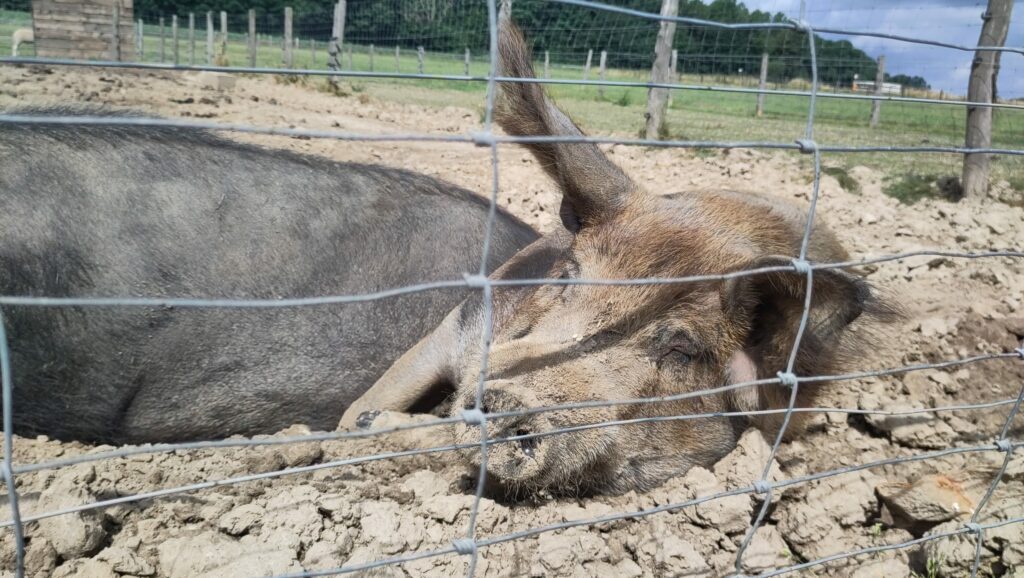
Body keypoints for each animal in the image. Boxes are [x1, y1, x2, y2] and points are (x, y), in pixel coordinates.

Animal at [340, 18, 897, 496]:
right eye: (567, 278)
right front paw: (349, 428)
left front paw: (369, 432)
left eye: (682, 348)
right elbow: (385, 388)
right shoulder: (464, 323)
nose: (508, 398)